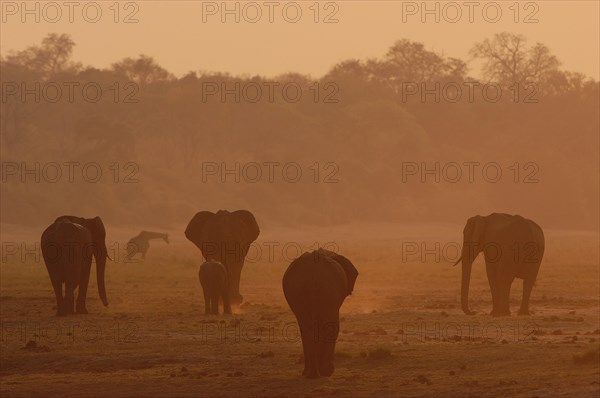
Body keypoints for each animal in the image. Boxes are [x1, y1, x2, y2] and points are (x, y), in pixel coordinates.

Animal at [282, 249, 356, 380]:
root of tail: (314, 273)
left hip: (302, 291)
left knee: (307, 328)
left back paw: (312, 374)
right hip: (328, 290)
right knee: (330, 326)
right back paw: (325, 372)